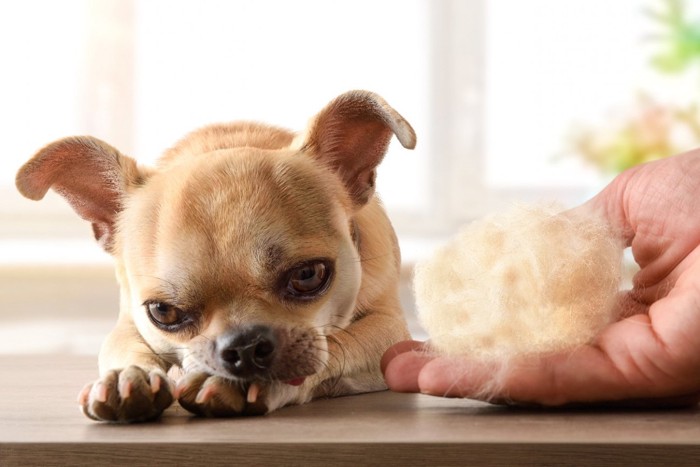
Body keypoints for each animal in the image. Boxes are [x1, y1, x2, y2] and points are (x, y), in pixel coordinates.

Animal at [15, 89, 416, 422]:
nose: (244, 346)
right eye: (163, 312)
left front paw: (235, 386)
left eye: (308, 275)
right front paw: (128, 377)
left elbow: (333, 344)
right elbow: (126, 349)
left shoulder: (389, 330)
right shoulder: (129, 324)